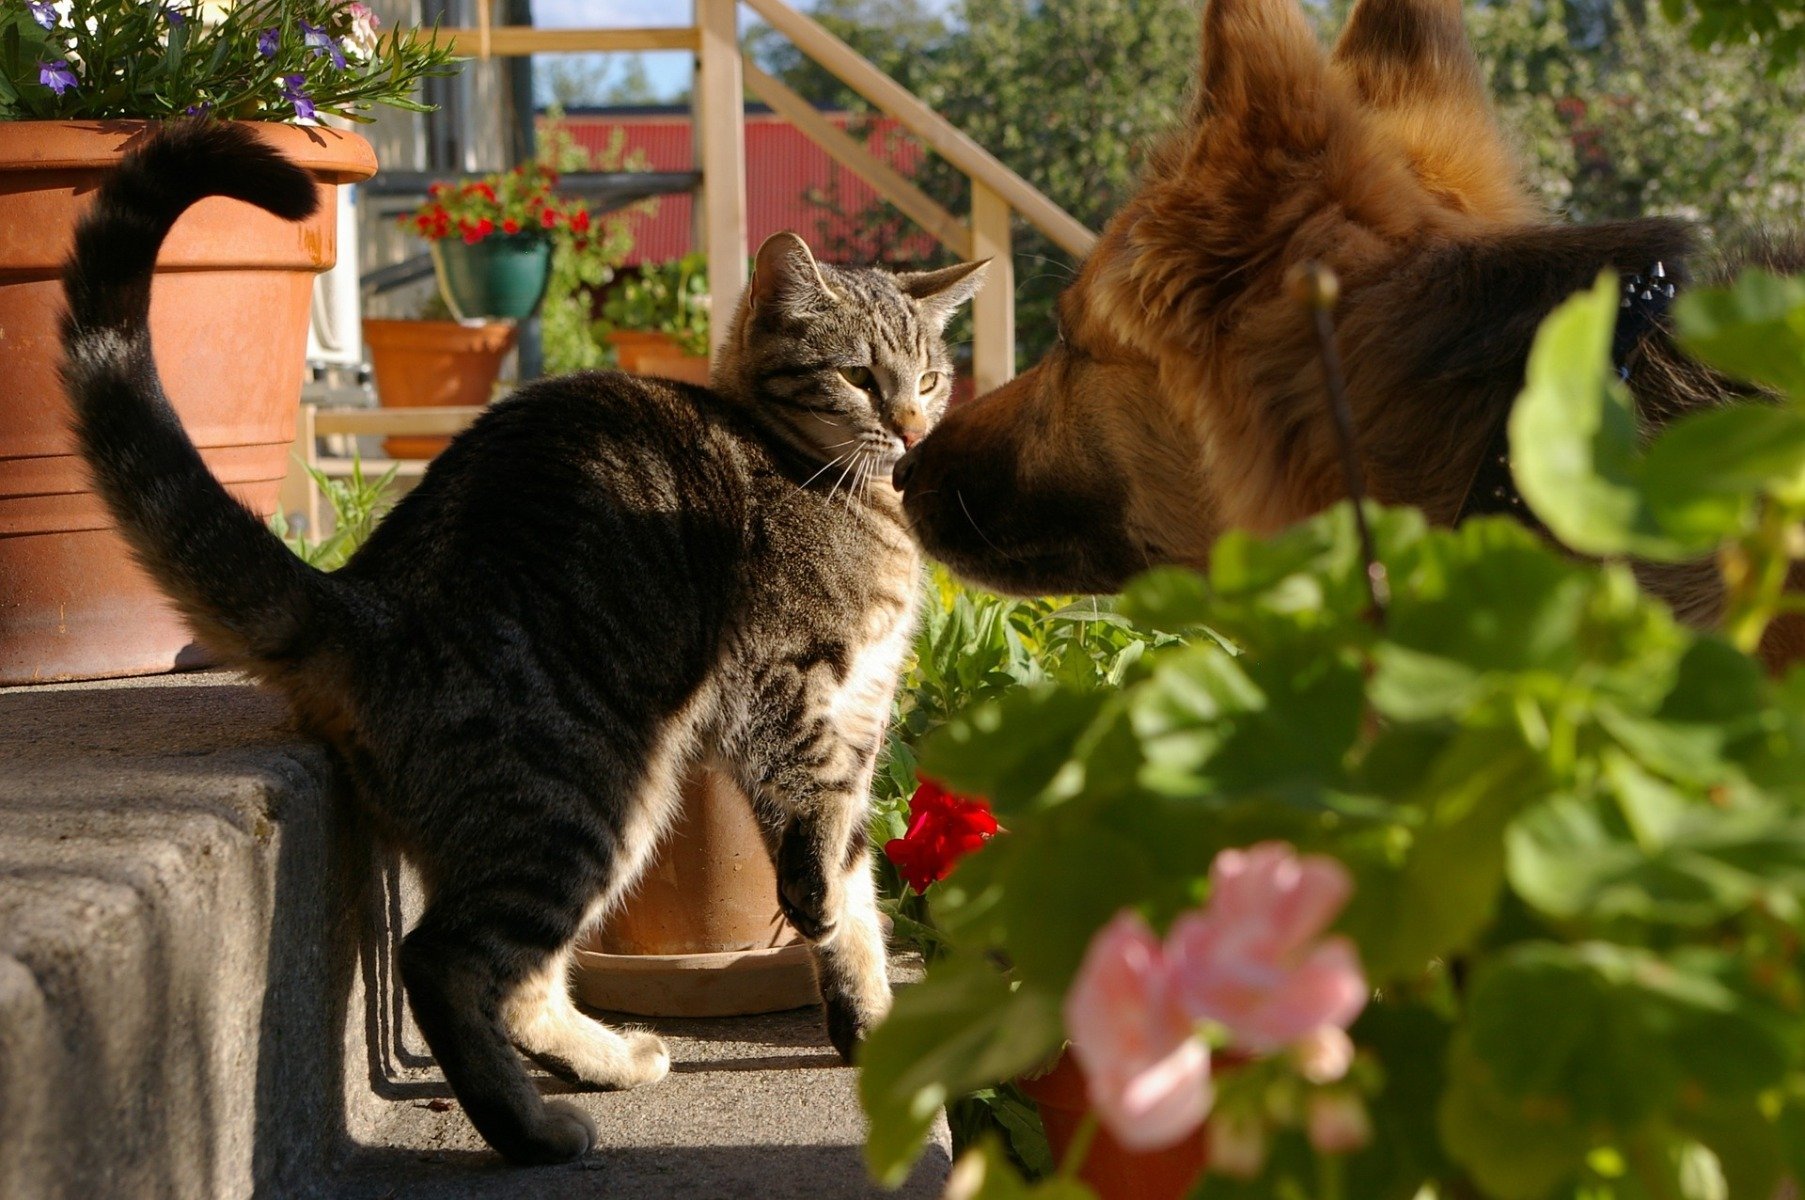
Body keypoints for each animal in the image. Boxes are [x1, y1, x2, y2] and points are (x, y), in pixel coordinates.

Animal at [60, 126, 989, 1162]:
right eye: (860, 377)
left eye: (930, 378)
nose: (910, 425)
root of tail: (366, 597)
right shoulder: (785, 681)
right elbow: (815, 828)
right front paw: (826, 923)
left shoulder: (864, 711)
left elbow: (858, 887)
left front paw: (869, 1021)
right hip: (586, 794)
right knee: (443, 962)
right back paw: (530, 1129)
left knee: (520, 981)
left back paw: (602, 1061)